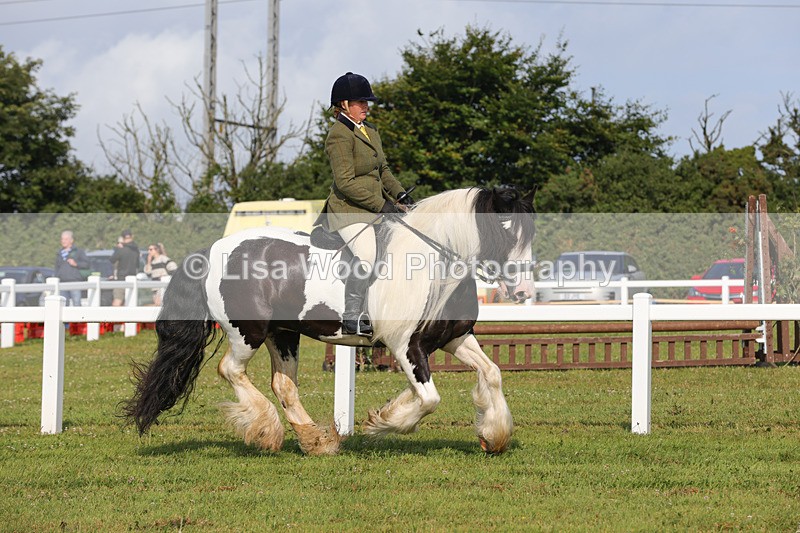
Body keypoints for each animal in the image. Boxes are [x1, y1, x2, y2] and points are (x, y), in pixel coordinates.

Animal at [122, 186, 536, 455]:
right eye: (503, 228)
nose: (522, 292)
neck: (435, 263)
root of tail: (212, 251)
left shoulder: (454, 338)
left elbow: (492, 373)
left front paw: (493, 436)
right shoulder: (405, 345)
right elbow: (429, 398)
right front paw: (384, 421)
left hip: (282, 333)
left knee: (283, 385)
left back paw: (316, 441)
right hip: (247, 332)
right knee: (231, 370)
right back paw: (267, 431)